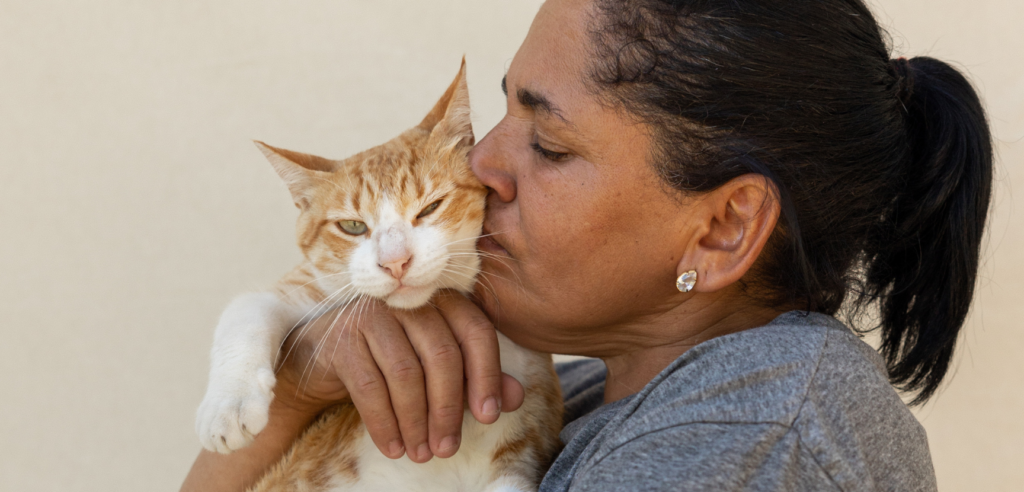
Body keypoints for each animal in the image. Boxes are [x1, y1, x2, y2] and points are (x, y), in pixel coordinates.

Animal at [195, 62, 565, 492]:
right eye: (353, 226)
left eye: (430, 208)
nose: (396, 262)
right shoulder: (310, 287)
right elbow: (248, 307)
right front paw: (227, 407)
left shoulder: (514, 459)